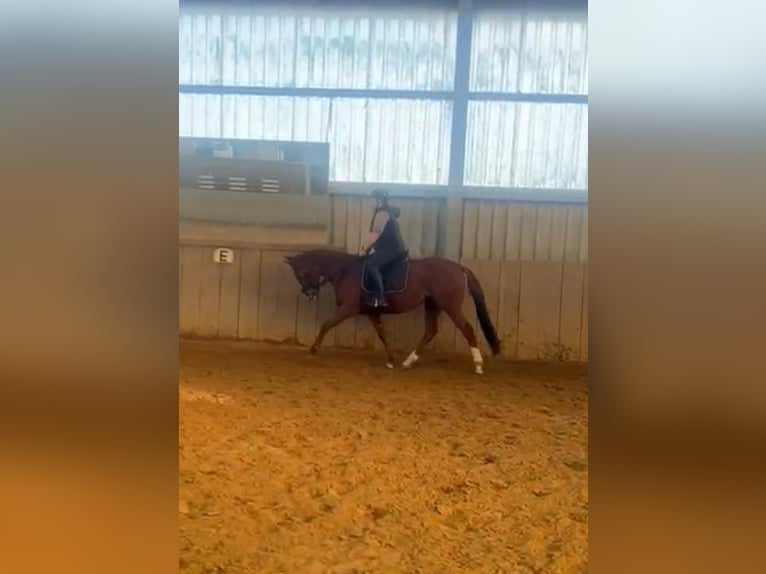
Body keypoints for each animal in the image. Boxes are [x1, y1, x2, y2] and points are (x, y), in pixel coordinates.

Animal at [285, 249, 501, 374]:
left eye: (301, 273)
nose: (310, 294)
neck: (345, 271)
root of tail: (459, 267)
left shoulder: (347, 308)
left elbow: (326, 325)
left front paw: (313, 350)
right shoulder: (372, 313)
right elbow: (382, 334)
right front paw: (391, 359)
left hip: (450, 305)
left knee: (467, 329)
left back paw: (478, 364)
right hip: (433, 305)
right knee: (430, 331)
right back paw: (408, 361)